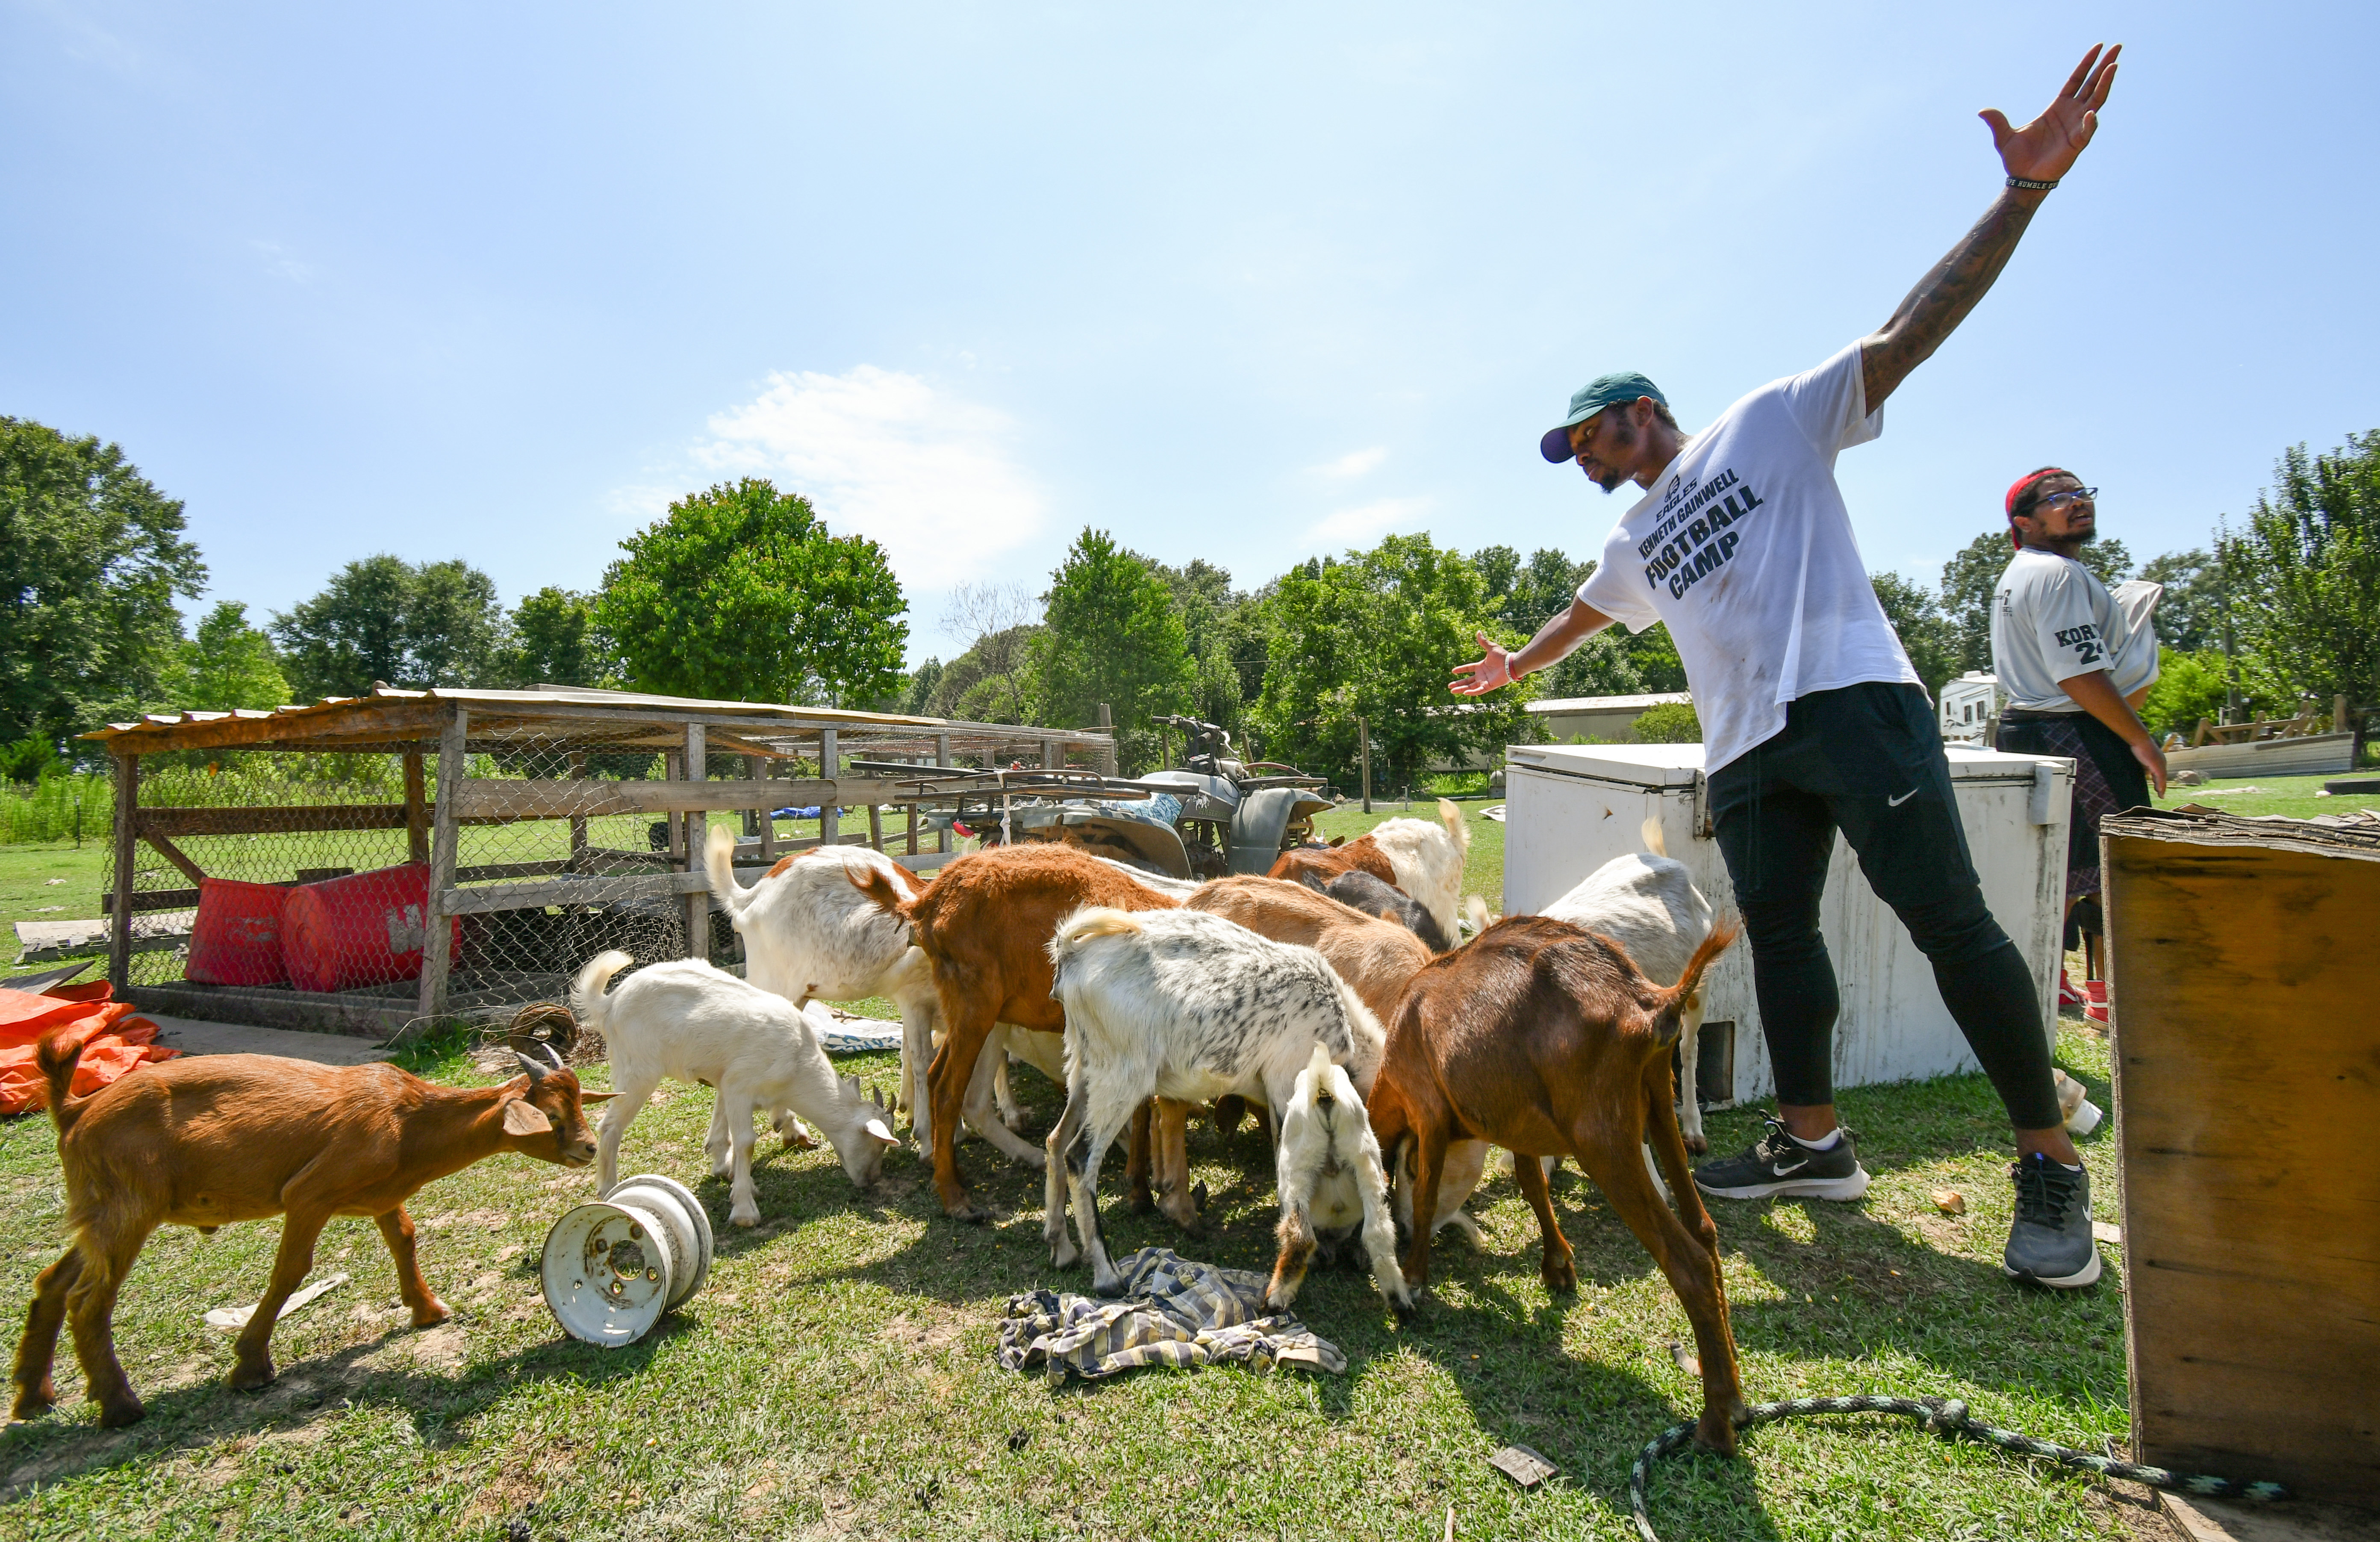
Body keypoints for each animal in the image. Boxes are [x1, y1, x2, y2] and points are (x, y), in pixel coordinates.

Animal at [14, 1028, 609, 1427]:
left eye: (579, 1101)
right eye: (551, 1115)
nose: (588, 1148)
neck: (407, 1122)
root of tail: (74, 1109)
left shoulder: (380, 1195)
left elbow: (404, 1238)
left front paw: (428, 1310)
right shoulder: (309, 1195)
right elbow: (291, 1270)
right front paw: (251, 1365)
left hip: (100, 1208)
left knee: (53, 1282)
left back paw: (32, 1395)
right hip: (130, 1206)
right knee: (90, 1297)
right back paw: (119, 1405)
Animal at [573, 947, 899, 1218]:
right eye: (879, 1143)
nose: (871, 1181)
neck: (798, 1063)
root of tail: (609, 1003)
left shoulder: (727, 1081)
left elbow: (724, 1125)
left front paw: (731, 1172)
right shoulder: (741, 1085)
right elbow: (746, 1142)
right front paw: (744, 1208)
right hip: (638, 1070)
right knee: (610, 1126)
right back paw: (609, 1190)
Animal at [852, 842, 1175, 1218]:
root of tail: (929, 901)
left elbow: (1141, 1106)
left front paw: (1138, 1187)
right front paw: (1140, 1190)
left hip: (967, 1011)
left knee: (933, 1076)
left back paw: (951, 1171)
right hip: (975, 1006)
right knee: (947, 1092)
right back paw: (956, 1199)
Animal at [1042, 904, 1409, 1313]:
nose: (1337, 1253)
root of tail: (1071, 953)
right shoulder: (1285, 1085)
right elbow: (1284, 1157)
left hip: (1083, 1066)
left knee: (1056, 1141)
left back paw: (1061, 1246)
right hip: (1122, 1075)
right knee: (1079, 1157)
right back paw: (1106, 1275)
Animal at [1361, 909, 1752, 1456]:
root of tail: (1650, 1004)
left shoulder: (1429, 1110)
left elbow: (1427, 1190)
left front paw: (1415, 1276)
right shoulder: (1517, 1120)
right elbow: (1531, 1183)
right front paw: (1558, 1265)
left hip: (1603, 1134)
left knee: (1688, 1262)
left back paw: (1715, 1423)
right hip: (1657, 1098)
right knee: (1705, 1229)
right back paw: (1734, 1395)